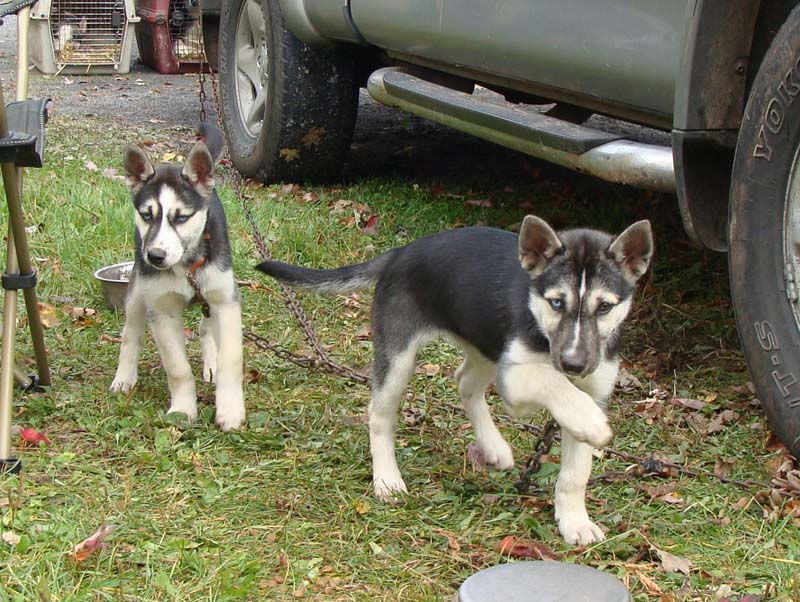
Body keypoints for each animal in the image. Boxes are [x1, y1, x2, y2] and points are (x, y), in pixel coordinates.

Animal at [111, 123, 245, 432]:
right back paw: (124, 377)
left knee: (206, 328)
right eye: (147, 215)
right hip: (138, 292)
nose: (156, 256)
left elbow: (231, 360)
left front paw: (231, 410)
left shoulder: (226, 302)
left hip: (211, 297)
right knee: (130, 333)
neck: (186, 265)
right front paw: (183, 410)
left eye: (181, 217)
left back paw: (211, 364)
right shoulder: (162, 312)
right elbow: (178, 368)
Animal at [260, 217, 652, 544]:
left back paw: (493, 446)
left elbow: (576, 472)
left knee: (464, 382)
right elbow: (552, 382)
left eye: (605, 307)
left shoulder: (592, 388)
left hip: (483, 342)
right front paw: (592, 424)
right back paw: (387, 478)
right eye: (556, 302)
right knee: (379, 414)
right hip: (400, 357)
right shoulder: (515, 377)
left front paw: (574, 521)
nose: (573, 364)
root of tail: (401, 252)